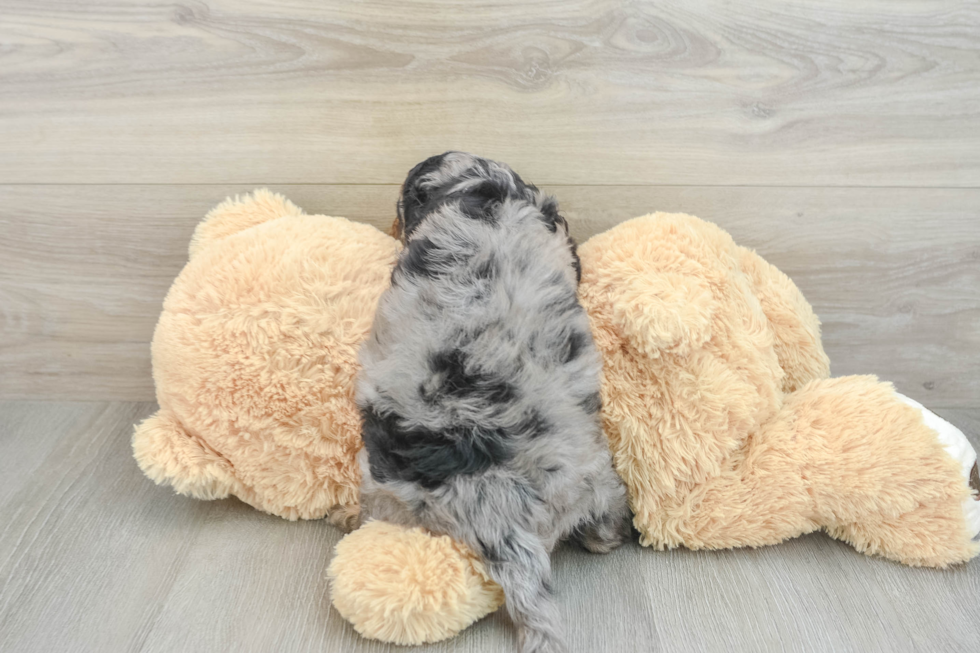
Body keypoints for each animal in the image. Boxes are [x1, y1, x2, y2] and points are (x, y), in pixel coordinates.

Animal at [356, 152, 632, 652]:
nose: (390, 225)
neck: (484, 191)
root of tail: (500, 521)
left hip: (382, 489)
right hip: (596, 481)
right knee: (604, 524)